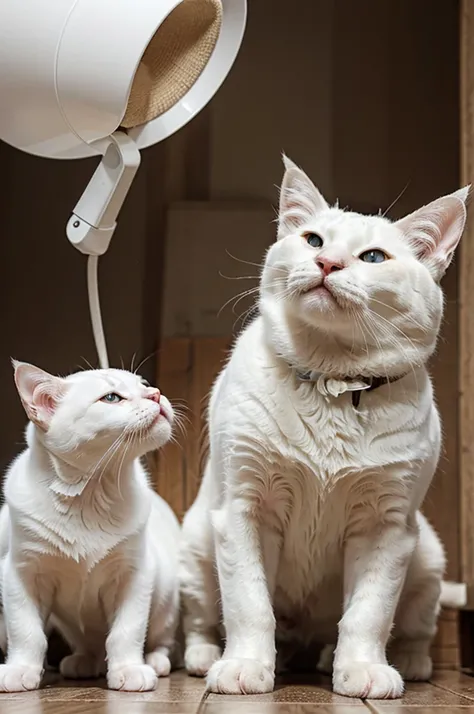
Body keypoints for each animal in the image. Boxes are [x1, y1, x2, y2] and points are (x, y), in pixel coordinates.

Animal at [0, 362, 181, 688]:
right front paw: (21, 669)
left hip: (165, 599)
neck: (89, 496)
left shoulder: (134, 574)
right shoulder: (20, 572)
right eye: (111, 398)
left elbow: (126, 632)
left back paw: (154, 660)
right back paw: (84, 660)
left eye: (144, 384)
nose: (156, 394)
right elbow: (26, 632)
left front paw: (128, 669)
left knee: (161, 640)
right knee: (90, 645)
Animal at [180, 154, 468, 696]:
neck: (332, 385)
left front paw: (363, 670)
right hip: (196, 551)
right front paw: (246, 666)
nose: (327, 263)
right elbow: (250, 605)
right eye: (313, 240)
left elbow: (368, 615)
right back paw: (207, 656)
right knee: (203, 619)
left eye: (373, 257)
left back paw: (405, 662)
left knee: (410, 628)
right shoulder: (245, 509)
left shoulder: (387, 527)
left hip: (428, 558)